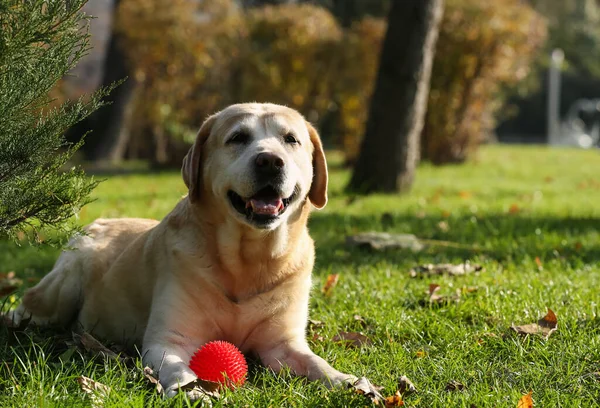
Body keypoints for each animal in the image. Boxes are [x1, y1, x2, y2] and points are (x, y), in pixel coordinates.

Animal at [9, 102, 356, 398]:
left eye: (290, 139)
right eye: (238, 138)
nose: (270, 161)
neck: (247, 261)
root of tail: (101, 221)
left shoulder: (282, 344)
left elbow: (315, 363)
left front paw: (346, 380)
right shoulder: (170, 340)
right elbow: (177, 367)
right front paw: (192, 388)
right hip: (61, 289)